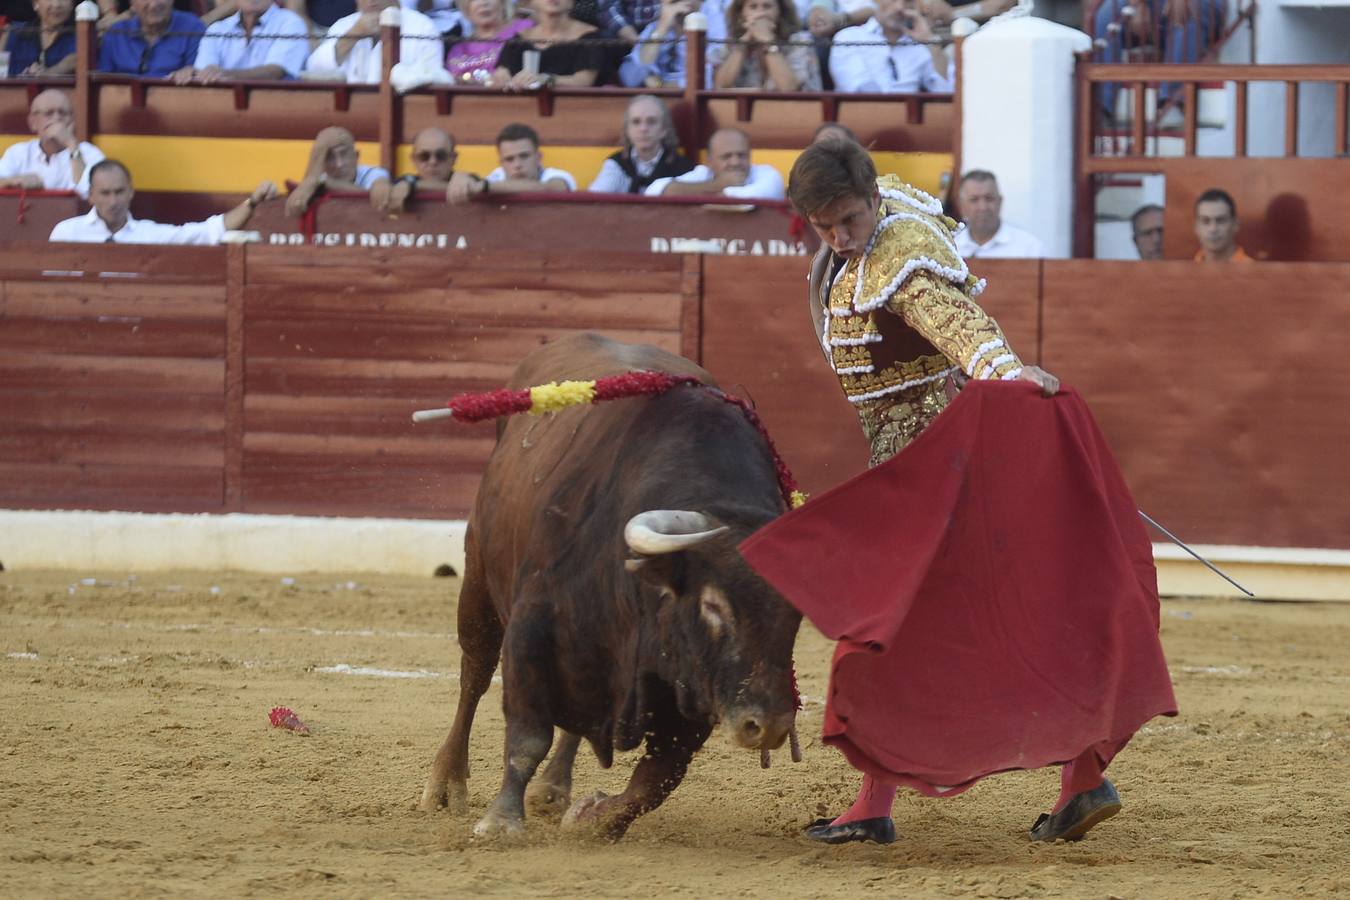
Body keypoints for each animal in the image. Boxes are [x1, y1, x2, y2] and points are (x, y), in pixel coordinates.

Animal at [418, 334, 799, 841]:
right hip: (478, 575)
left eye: (796, 616)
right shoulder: (531, 629)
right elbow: (527, 735)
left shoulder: (691, 689)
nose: (770, 726)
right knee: (474, 673)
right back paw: (447, 785)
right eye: (713, 606)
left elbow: (657, 780)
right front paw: (501, 821)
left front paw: (592, 817)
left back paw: (553, 790)